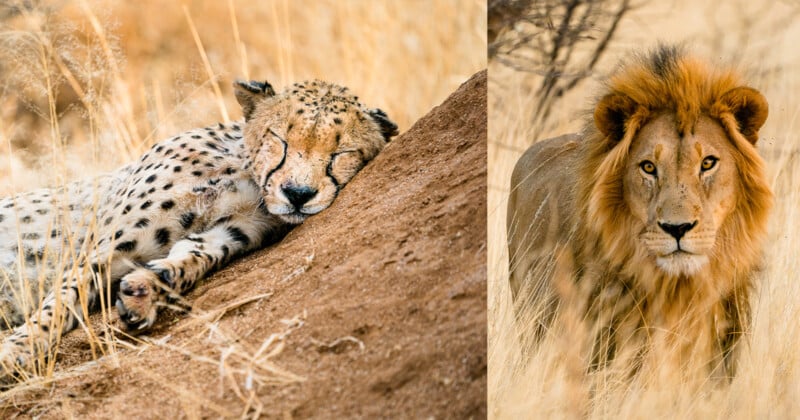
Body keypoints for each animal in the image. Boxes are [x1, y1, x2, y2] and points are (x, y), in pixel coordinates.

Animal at [0, 78, 398, 378]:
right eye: (280, 139)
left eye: (341, 153)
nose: (298, 194)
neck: (245, 172)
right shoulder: (105, 246)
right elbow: (61, 301)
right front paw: (18, 349)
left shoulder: (234, 231)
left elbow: (191, 256)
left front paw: (145, 288)